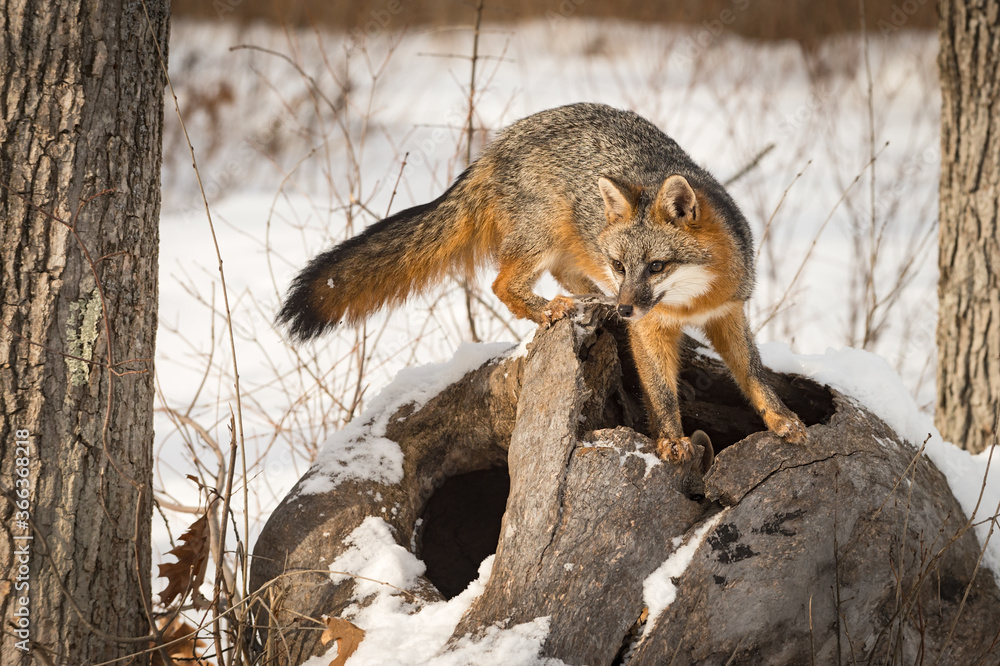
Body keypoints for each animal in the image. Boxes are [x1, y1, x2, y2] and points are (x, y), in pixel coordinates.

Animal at [277, 102, 807, 466]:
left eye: (656, 266)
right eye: (622, 264)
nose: (626, 307)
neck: (690, 304)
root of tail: (498, 144)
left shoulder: (729, 313)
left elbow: (753, 375)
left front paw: (782, 419)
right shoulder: (650, 329)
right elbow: (660, 391)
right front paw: (672, 440)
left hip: (570, 246)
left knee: (563, 277)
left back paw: (589, 301)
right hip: (544, 236)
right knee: (502, 284)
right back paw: (551, 309)